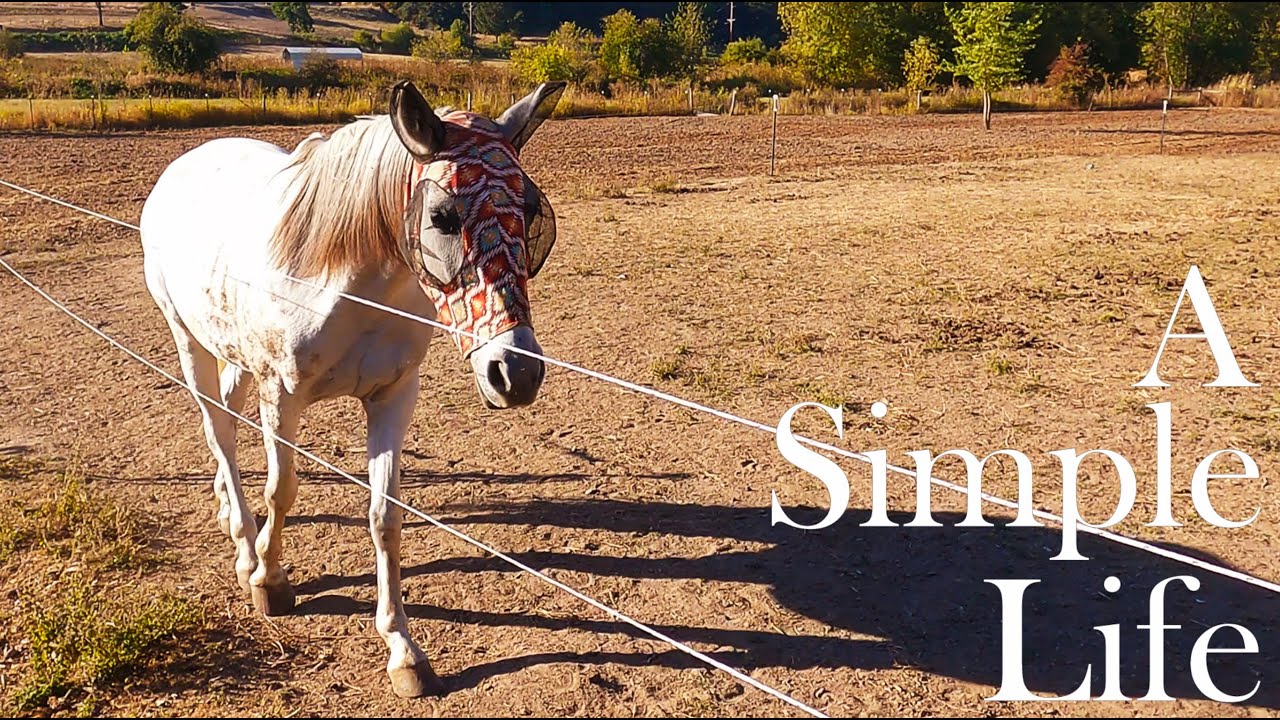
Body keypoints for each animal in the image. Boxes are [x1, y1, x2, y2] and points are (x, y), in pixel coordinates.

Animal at [138, 80, 566, 697]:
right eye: (442, 215)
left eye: (531, 212)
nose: (517, 372)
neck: (349, 286)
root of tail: (181, 167)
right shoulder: (281, 396)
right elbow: (282, 491)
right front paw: (270, 580)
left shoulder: (393, 397)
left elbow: (385, 516)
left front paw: (403, 650)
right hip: (187, 339)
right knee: (217, 430)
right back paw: (243, 545)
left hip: (231, 352)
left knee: (226, 425)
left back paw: (227, 512)